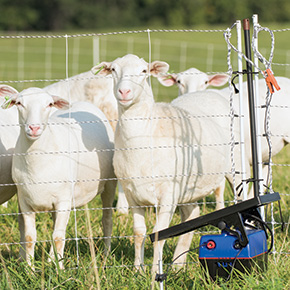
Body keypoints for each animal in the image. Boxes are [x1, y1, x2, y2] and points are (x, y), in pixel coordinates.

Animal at [1, 85, 116, 268]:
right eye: (19, 103)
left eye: (49, 104)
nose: (34, 128)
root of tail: (84, 103)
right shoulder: (25, 201)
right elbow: (29, 237)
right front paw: (30, 269)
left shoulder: (64, 201)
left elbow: (58, 236)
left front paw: (58, 268)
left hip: (109, 185)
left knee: (107, 220)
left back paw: (105, 255)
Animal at [92, 53, 237, 272]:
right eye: (114, 70)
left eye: (144, 71)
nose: (124, 91)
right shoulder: (132, 193)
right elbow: (139, 232)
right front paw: (138, 269)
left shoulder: (169, 193)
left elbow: (159, 234)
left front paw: (154, 272)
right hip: (188, 189)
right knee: (192, 214)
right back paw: (177, 264)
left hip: (235, 169)